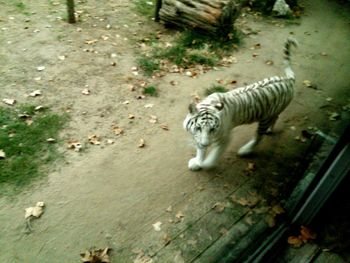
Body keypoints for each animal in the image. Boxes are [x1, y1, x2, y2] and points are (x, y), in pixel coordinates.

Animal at [183, 38, 298, 172]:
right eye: (198, 128)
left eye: (212, 129)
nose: (205, 144)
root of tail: (288, 80)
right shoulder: (199, 137)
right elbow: (200, 150)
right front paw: (197, 161)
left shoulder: (225, 138)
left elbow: (212, 157)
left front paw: (204, 164)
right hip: (273, 112)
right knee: (275, 117)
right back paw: (270, 130)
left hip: (264, 119)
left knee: (258, 136)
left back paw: (245, 150)